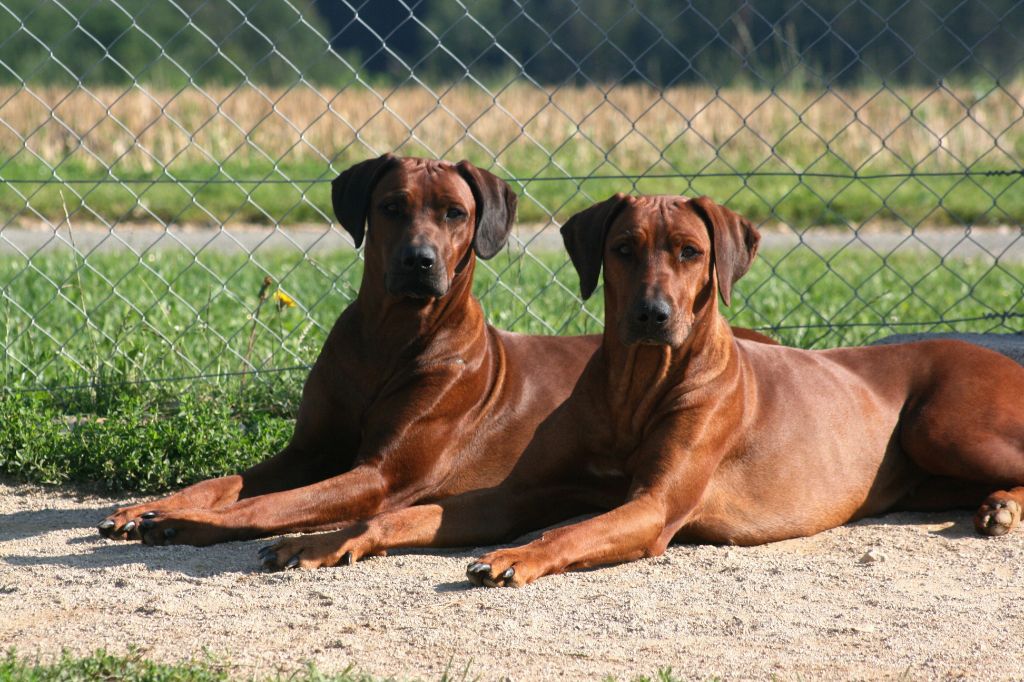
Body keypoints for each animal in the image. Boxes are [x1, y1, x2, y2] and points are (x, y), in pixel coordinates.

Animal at [97, 155, 774, 548]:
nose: (420, 262)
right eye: (391, 206)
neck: (390, 342)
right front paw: (149, 507)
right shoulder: (308, 451)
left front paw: (190, 524)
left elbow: (271, 505)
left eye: (455, 212)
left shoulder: (379, 476)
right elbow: (228, 481)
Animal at [260, 191, 1024, 585]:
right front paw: (325, 539)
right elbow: (403, 514)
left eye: (690, 252)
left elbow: (571, 530)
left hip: (947, 424)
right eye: (624, 249)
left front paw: (517, 556)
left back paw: (1002, 509)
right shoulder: (515, 493)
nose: (653, 315)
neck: (635, 387)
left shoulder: (653, 508)